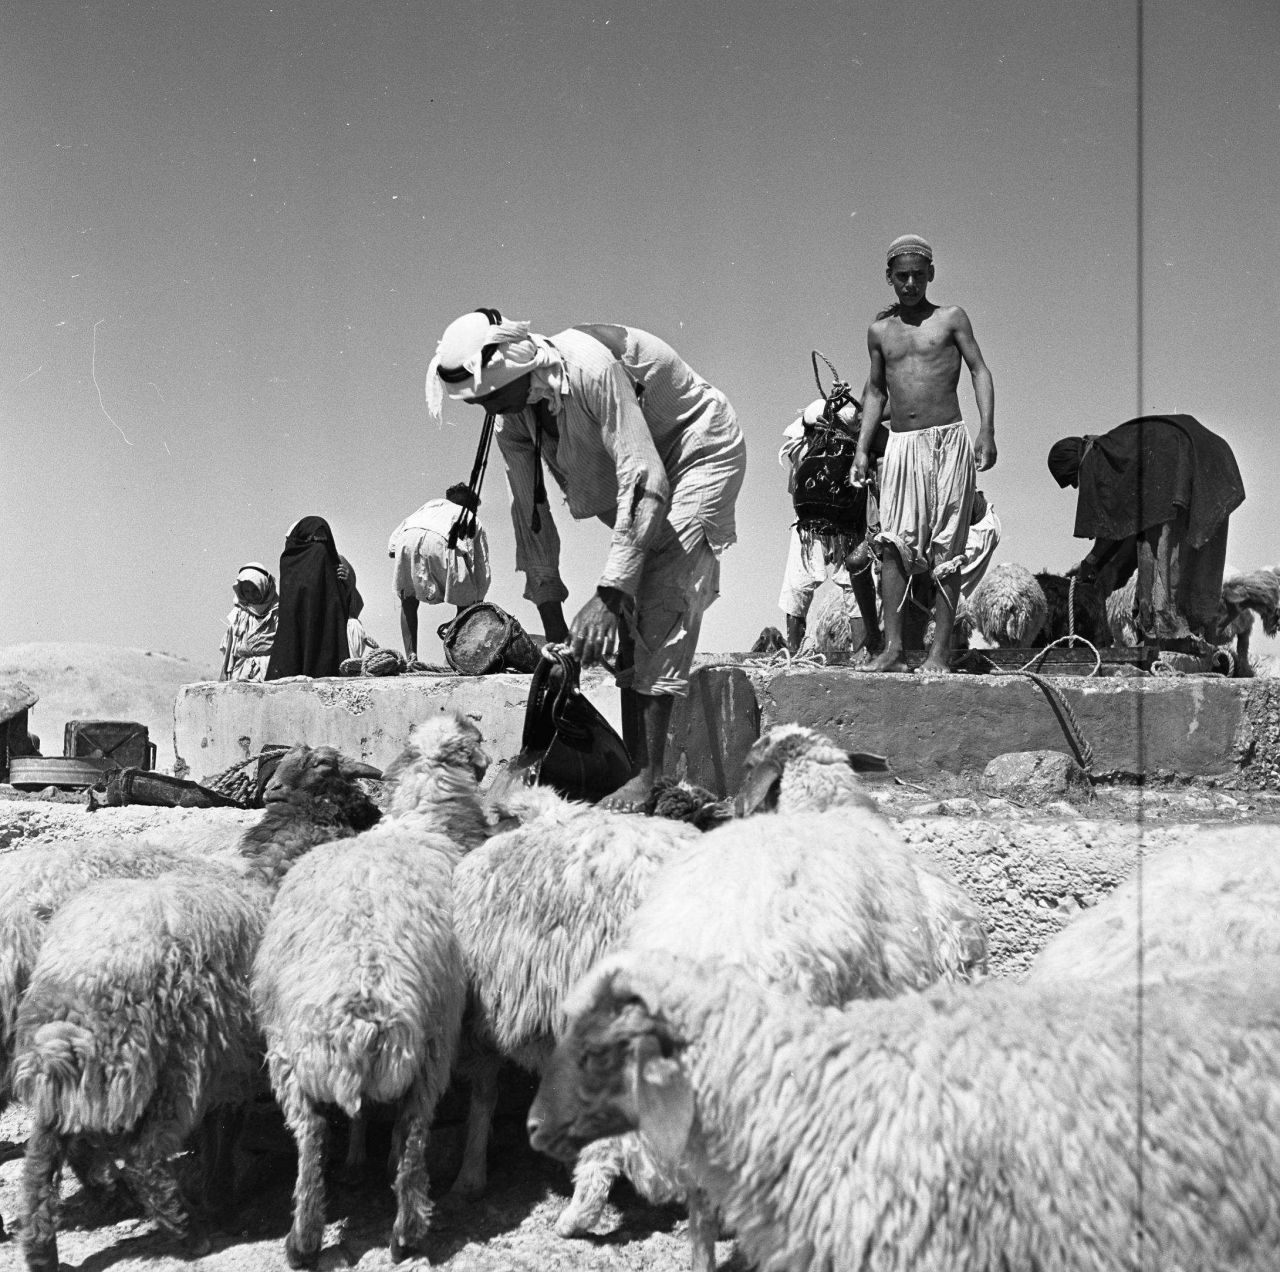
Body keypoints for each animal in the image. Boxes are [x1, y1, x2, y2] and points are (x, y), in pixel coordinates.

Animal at [252, 711, 491, 1264]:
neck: (425, 820)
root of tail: (360, 1002)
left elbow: (359, 1114)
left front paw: (359, 1163)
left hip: (295, 1049)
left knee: (314, 1134)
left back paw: (307, 1238)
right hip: (430, 1045)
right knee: (410, 1132)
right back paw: (402, 1231)